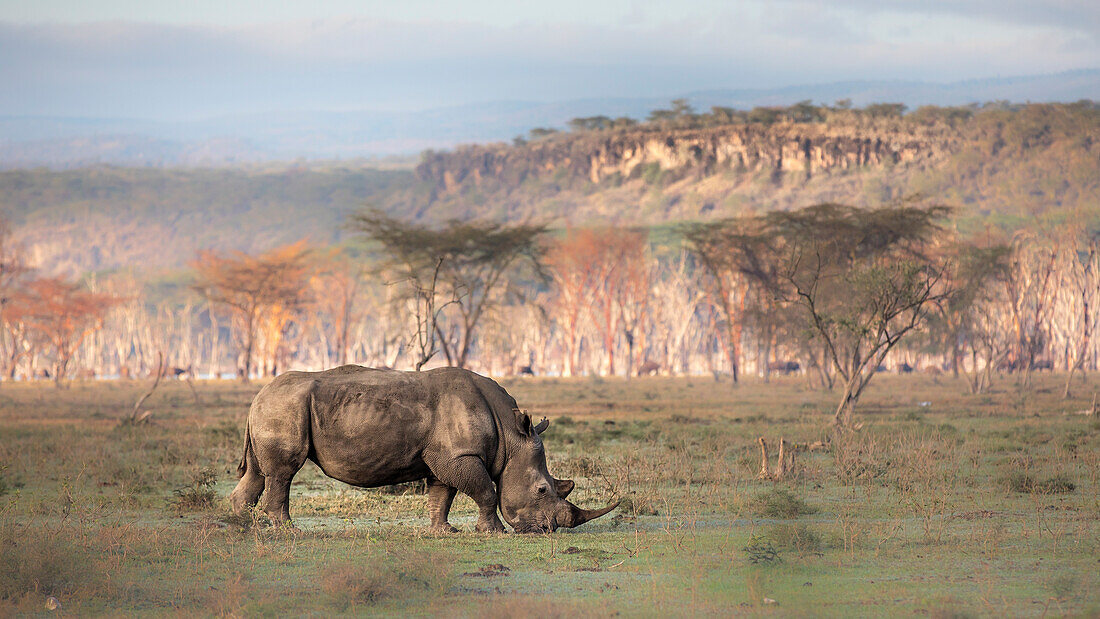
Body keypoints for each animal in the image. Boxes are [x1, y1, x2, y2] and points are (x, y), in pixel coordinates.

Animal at [229, 365, 620, 534]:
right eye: (541, 490)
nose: (549, 530)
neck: (511, 436)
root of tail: (257, 396)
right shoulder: (460, 455)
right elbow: (487, 491)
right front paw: (493, 532)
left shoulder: (446, 458)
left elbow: (441, 495)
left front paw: (444, 532)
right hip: (284, 408)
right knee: (283, 473)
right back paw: (288, 530)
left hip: (274, 408)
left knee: (259, 473)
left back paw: (242, 526)